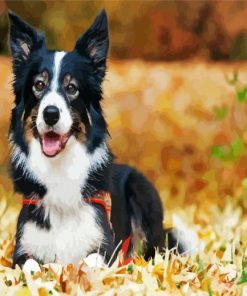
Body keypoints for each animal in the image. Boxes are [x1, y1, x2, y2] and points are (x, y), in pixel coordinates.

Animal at [6, 9, 186, 268]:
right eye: (38, 85)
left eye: (72, 88)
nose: (50, 114)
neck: (59, 168)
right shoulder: (22, 250)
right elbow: (31, 266)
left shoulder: (106, 248)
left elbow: (88, 264)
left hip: (142, 189)